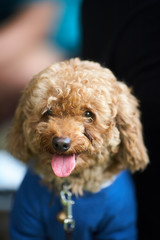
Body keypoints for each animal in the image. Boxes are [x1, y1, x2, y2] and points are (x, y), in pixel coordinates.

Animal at [7, 58, 148, 240]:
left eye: (88, 114)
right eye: (48, 111)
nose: (61, 143)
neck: (70, 184)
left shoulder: (118, 226)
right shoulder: (26, 224)